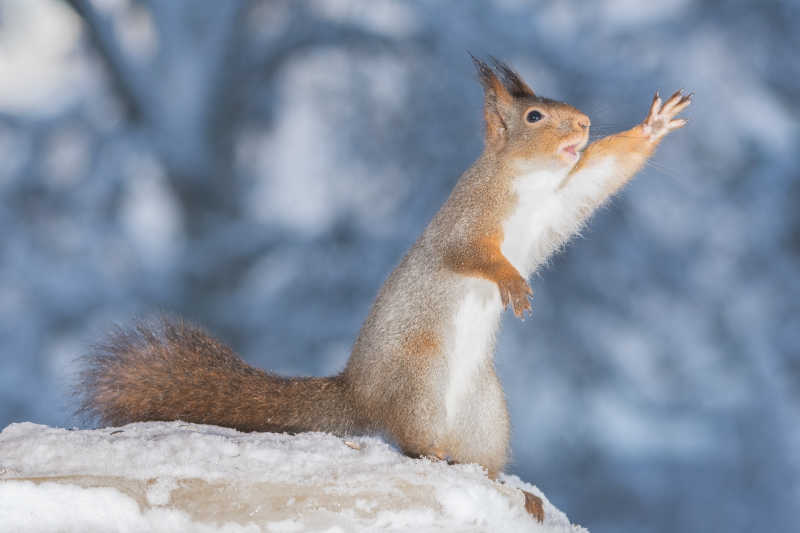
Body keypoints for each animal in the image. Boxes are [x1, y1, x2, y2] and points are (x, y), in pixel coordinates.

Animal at [78, 57, 692, 520]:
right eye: (535, 115)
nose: (585, 124)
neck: (528, 181)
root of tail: (360, 393)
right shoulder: (467, 224)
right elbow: (473, 257)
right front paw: (513, 284)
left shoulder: (563, 201)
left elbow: (601, 175)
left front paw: (653, 124)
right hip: (418, 379)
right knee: (413, 443)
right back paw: (436, 456)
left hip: (486, 413)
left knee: (477, 461)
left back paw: (507, 487)